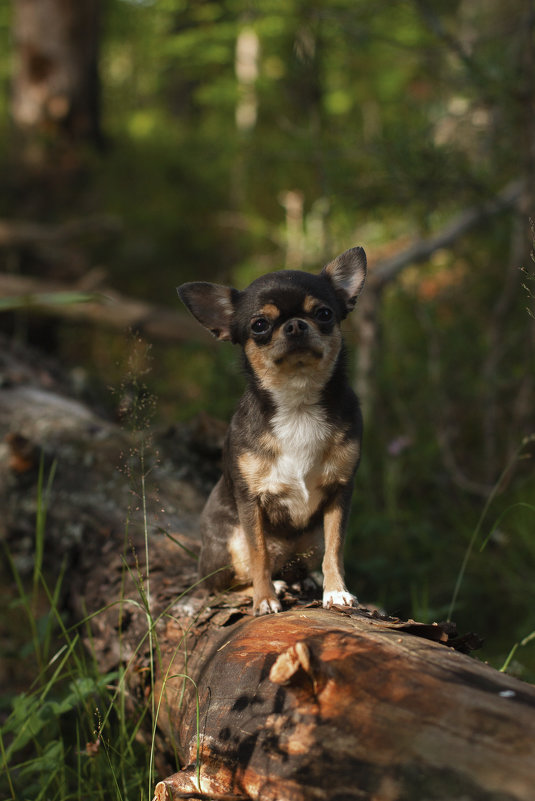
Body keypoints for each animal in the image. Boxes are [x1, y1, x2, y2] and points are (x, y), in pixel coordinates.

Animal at [178, 247, 366, 616]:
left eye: (324, 313)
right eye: (260, 325)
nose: (294, 324)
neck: (298, 403)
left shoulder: (340, 493)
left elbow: (335, 549)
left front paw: (336, 592)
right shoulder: (251, 501)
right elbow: (259, 554)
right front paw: (264, 599)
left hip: (310, 539)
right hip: (228, 543)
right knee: (223, 585)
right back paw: (266, 588)